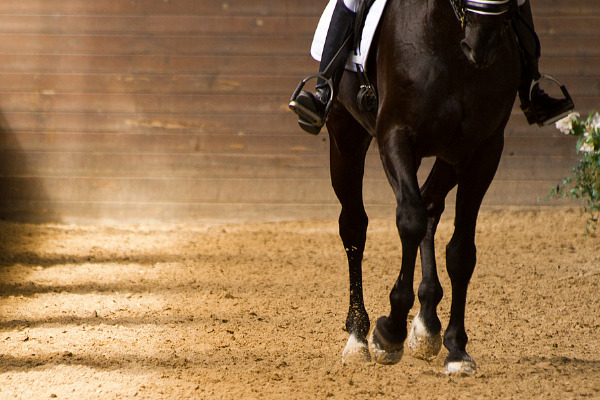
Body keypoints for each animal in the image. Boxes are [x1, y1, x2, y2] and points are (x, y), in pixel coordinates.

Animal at [328, 0, 520, 374]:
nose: (483, 41)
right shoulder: (395, 134)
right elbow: (410, 220)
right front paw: (389, 332)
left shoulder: (482, 150)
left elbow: (461, 251)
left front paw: (456, 348)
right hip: (345, 134)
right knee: (355, 225)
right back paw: (358, 335)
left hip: (449, 157)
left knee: (430, 204)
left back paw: (427, 324)